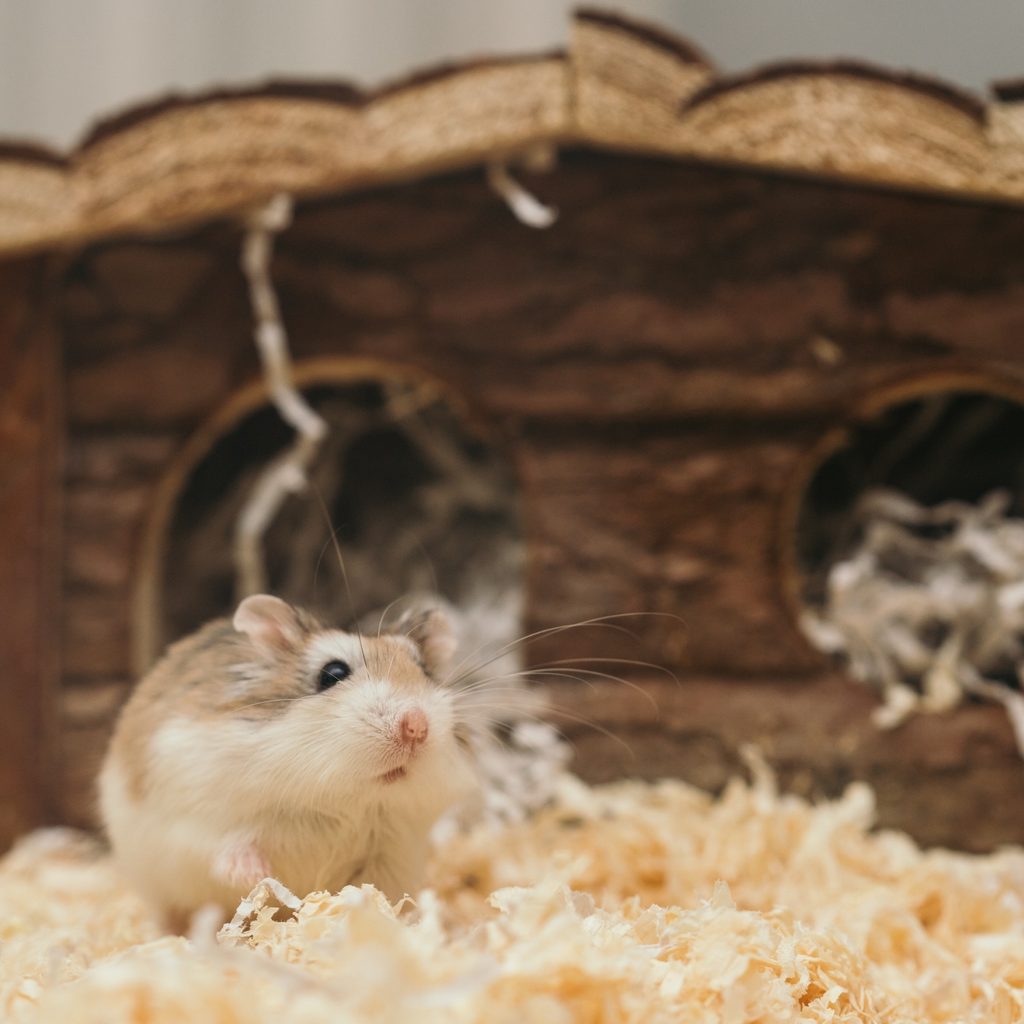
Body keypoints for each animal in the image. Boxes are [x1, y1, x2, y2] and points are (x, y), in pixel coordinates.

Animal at [99, 594, 480, 930]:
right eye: (333, 673)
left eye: (423, 671)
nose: (416, 726)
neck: (343, 800)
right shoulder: (197, 819)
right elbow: (226, 847)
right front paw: (258, 876)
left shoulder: (391, 853)